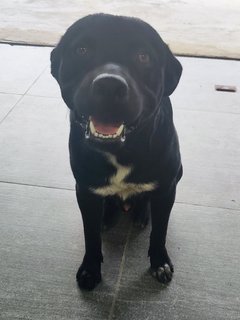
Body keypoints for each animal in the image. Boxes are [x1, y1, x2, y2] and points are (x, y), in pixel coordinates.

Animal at [50, 13, 182, 292]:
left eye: (143, 57)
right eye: (82, 50)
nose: (109, 85)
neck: (122, 149)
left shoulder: (167, 189)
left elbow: (160, 231)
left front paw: (160, 262)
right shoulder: (85, 190)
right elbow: (90, 235)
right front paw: (90, 269)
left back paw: (141, 214)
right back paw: (108, 215)